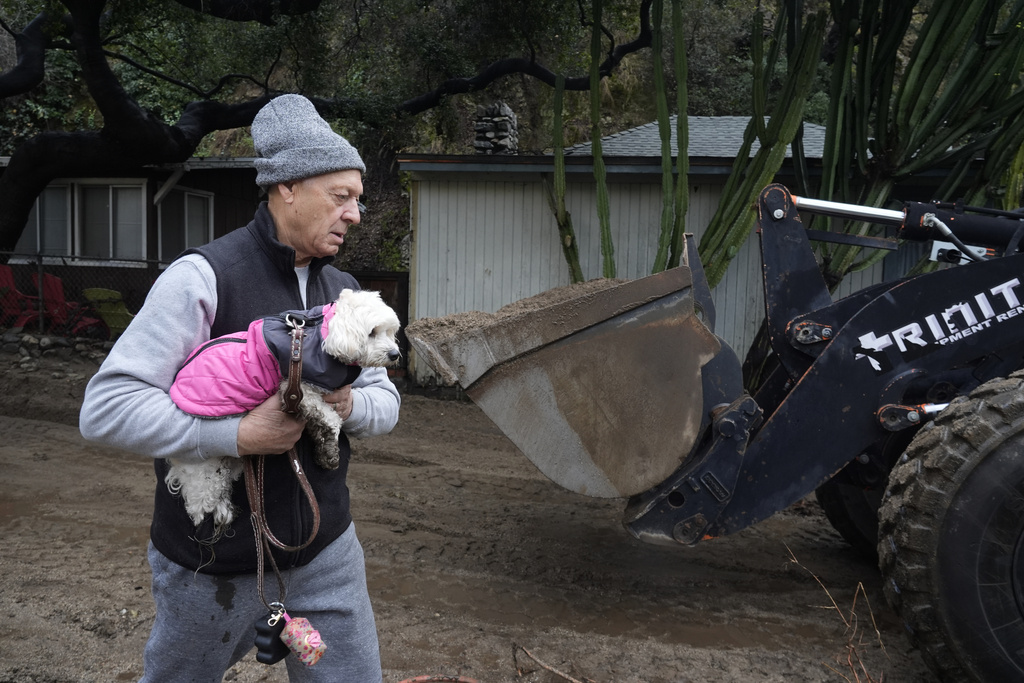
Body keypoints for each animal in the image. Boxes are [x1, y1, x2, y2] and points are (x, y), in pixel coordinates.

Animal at [163, 288, 399, 532]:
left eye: (390, 331)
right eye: (372, 332)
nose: (395, 354)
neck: (324, 335)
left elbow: (319, 425)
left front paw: (326, 453)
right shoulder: (297, 389)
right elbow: (331, 419)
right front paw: (330, 444)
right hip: (206, 463)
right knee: (200, 497)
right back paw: (216, 512)